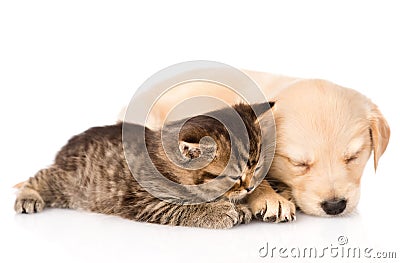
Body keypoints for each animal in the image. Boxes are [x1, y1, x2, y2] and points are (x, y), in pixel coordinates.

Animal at [14, 102, 274, 229]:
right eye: (235, 177)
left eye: (256, 167)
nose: (250, 188)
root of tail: (68, 145)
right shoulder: (145, 201)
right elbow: (182, 206)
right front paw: (220, 210)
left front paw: (239, 207)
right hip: (68, 182)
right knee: (41, 176)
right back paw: (28, 196)